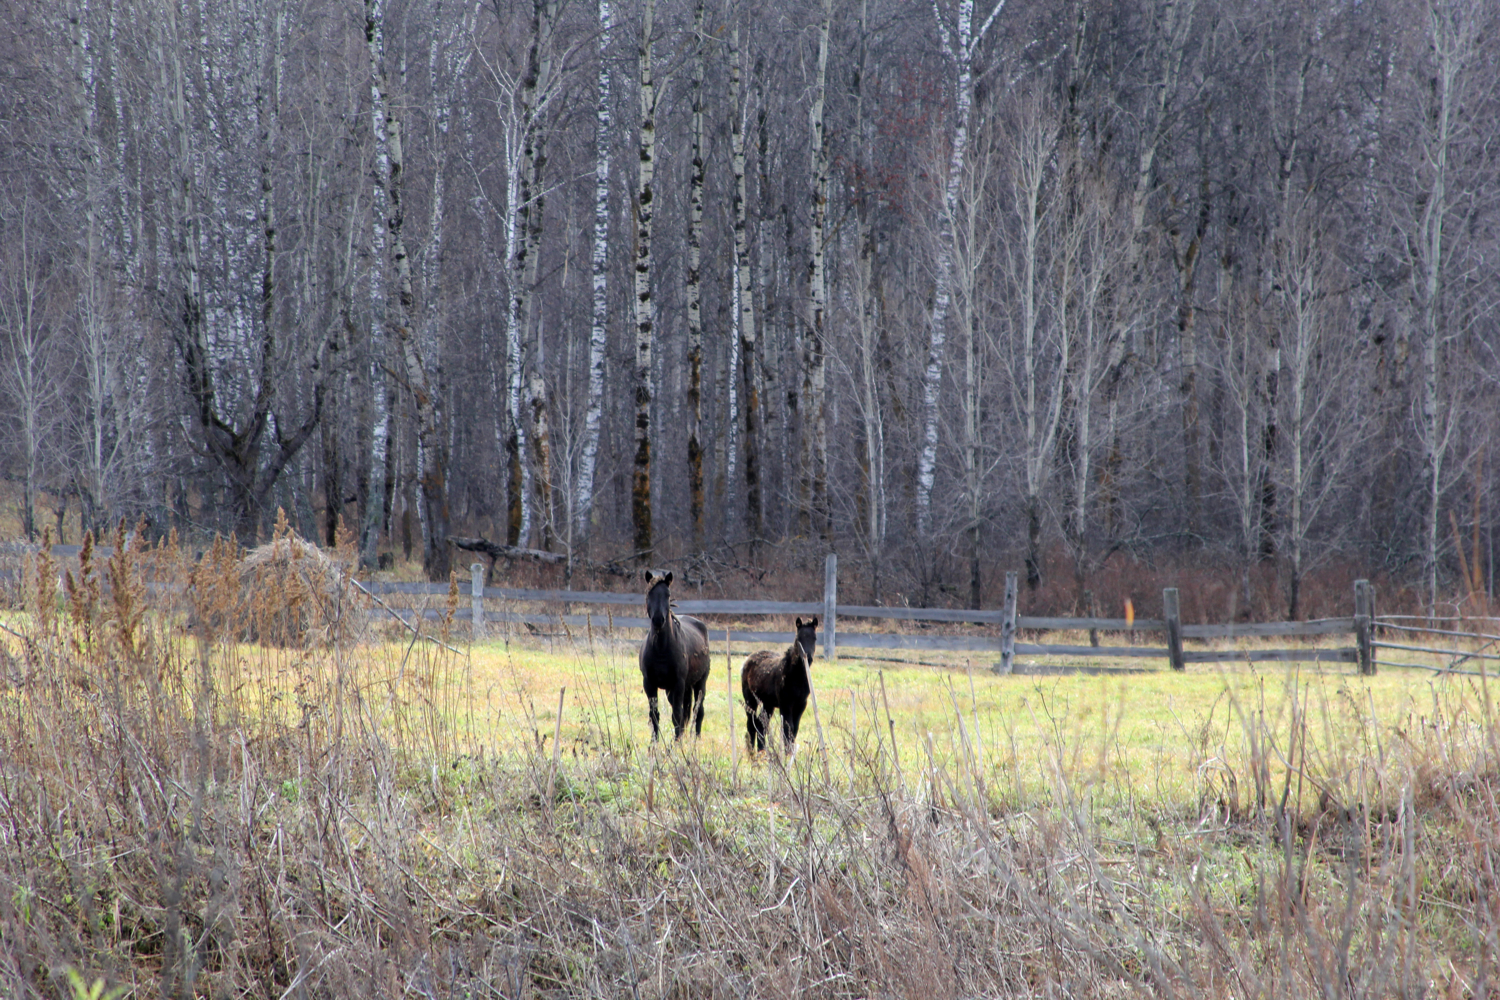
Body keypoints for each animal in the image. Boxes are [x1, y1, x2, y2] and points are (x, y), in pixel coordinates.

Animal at [636, 569, 711, 743]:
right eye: (649, 593)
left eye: (668, 594)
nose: (658, 619)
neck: (661, 650)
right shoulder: (649, 684)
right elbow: (654, 715)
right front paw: (654, 744)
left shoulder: (678, 683)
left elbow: (677, 715)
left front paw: (677, 744)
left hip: (699, 683)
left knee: (698, 710)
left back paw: (696, 740)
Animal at [741, 614, 822, 755]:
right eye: (798, 638)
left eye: (815, 638)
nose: (808, 658)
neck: (796, 678)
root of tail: (749, 658)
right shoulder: (785, 704)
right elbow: (787, 728)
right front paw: (788, 754)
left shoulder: (801, 705)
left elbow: (794, 729)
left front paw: (790, 754)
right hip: (750, 699)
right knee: (751, 724)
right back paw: (752, 753)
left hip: (768, 703)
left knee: (761, 724)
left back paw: (762, 751)